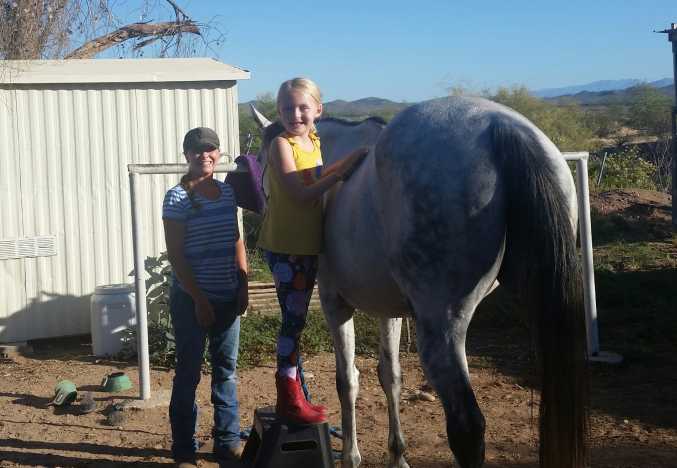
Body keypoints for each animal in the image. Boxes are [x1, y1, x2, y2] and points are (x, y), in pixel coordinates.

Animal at [251, 96, 589, 468]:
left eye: (264, 160)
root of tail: (501, 126)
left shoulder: (333, 303)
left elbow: (347, 380)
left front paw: (351, 456)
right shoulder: (390, 311)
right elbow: (391, 376)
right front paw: (398, 456)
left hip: (440, 329)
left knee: (467, 427)